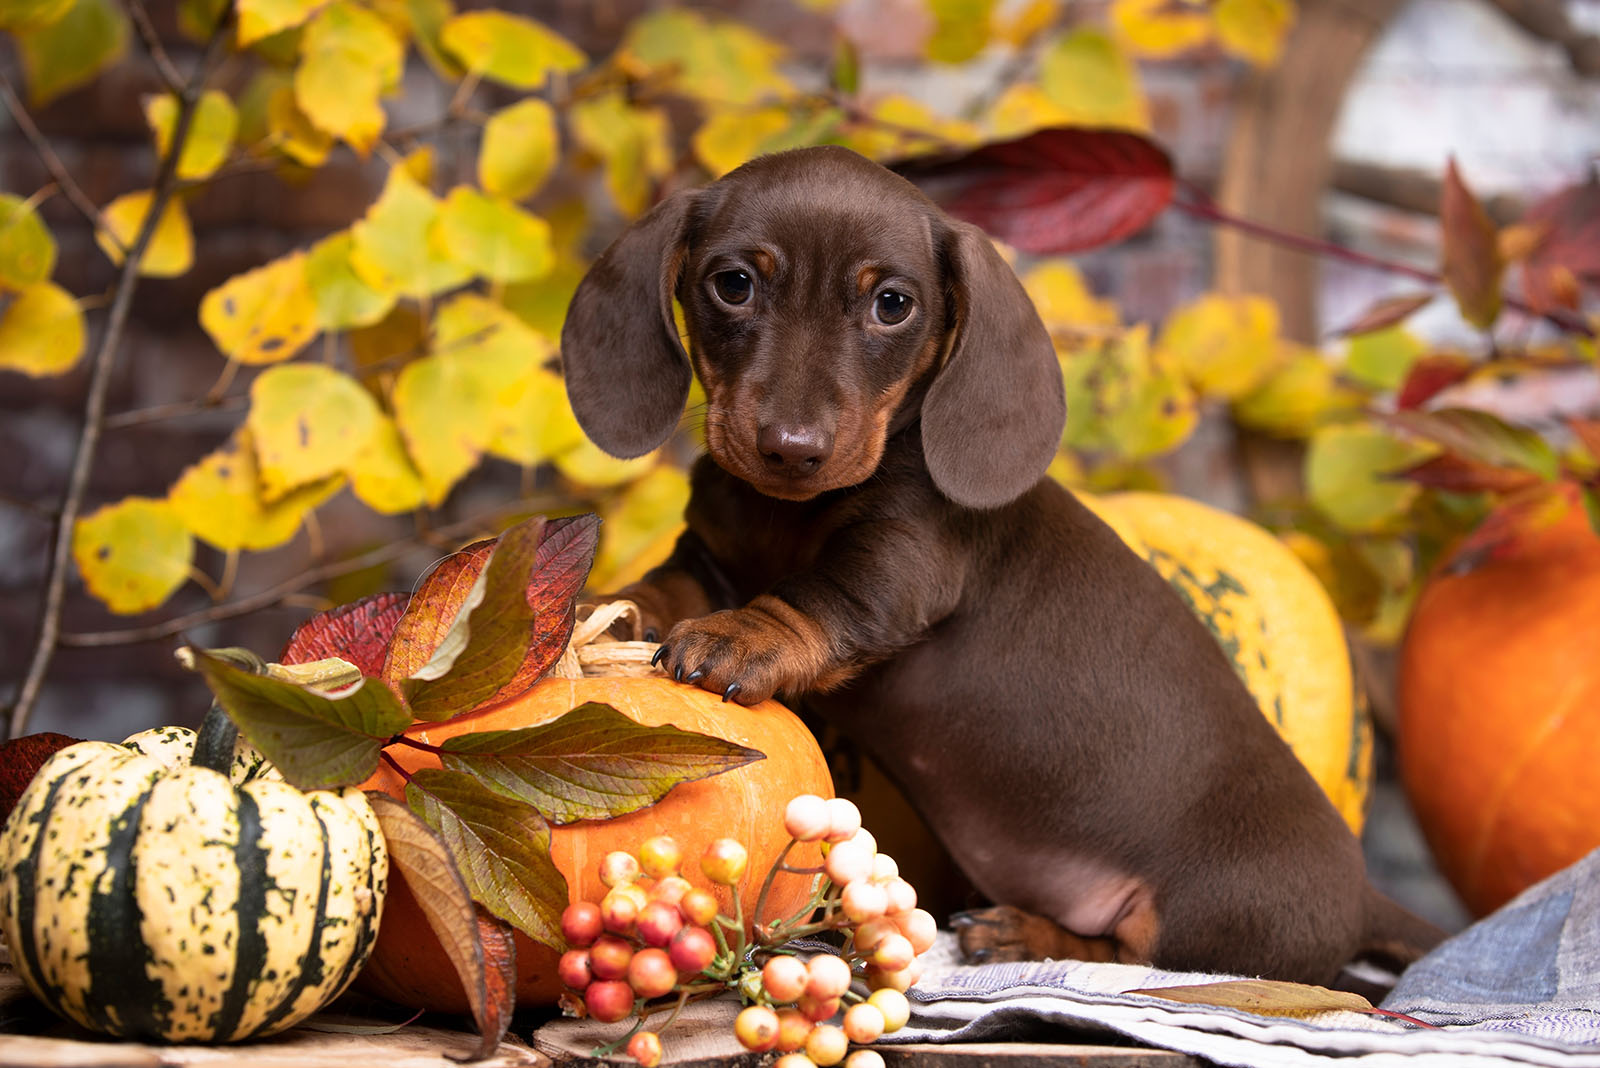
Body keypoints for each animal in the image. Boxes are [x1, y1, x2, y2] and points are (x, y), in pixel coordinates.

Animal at [556, 143, 1446, 984]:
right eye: (733, 285)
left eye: (892, 303)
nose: (791, 449)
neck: (784, 511)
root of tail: (1363, 895)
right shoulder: (709, 556)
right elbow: (667, 583)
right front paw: (601, 611)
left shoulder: (901, 564)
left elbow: (810, 600)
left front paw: (739, 637)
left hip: (1209, 919)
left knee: (1135, 958)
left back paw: (1026, 934)